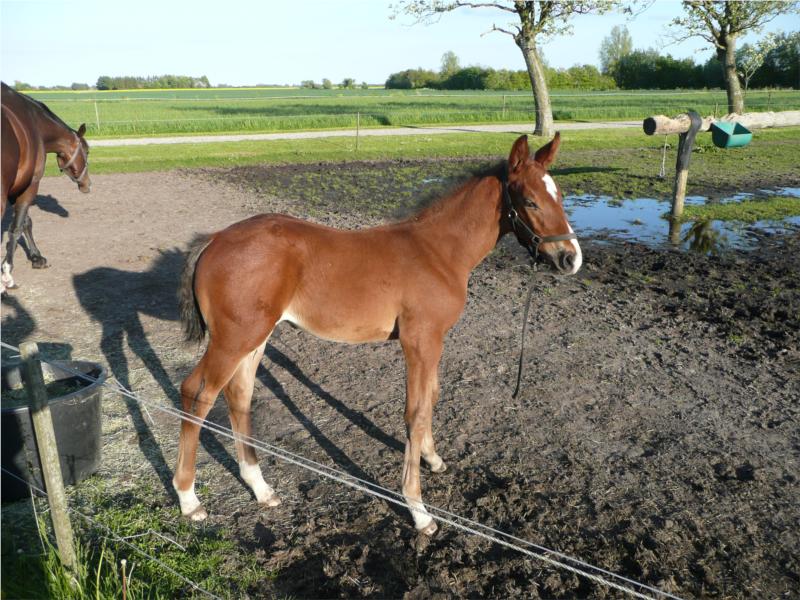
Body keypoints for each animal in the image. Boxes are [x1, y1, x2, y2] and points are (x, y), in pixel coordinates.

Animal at [1, 81, 90, 292]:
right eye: (87, 151)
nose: (87, 184)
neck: (35, 122)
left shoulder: (16, 188)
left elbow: (25, 222)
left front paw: (36, 257)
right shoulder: (30, 185)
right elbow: (16, 227)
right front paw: (7, 273)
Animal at [173, 135, 580, 536]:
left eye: (559, 195)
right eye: (530, 201)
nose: (570, 258)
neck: (438, 251)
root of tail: (214, 239)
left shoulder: (434, 341)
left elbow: (432, 397)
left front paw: (433, 458)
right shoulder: (419, 341)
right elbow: (415, 412)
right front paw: (419, 511)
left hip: (256, 336)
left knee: (239, 394)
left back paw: (261, 488)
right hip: (234, 338)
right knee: (197, 393)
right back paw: (189, 499)